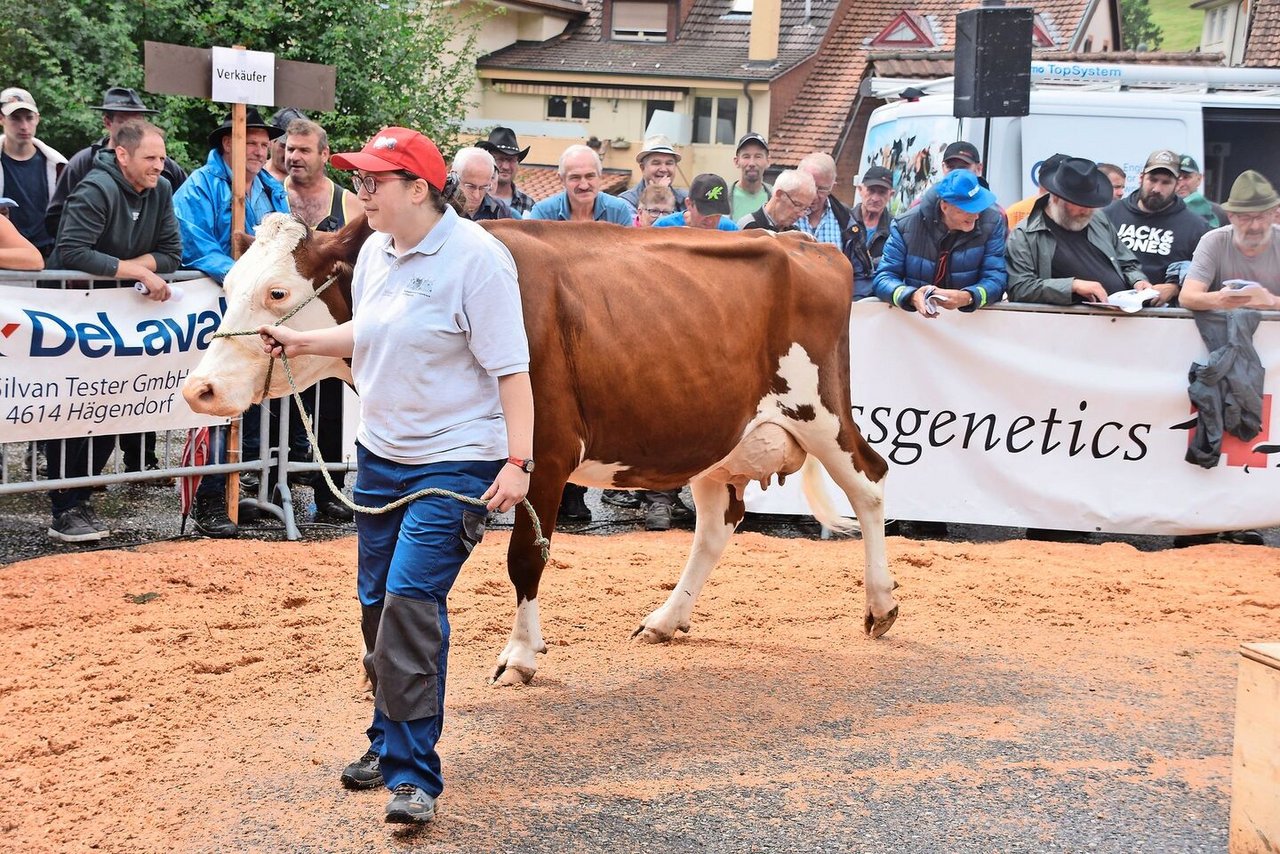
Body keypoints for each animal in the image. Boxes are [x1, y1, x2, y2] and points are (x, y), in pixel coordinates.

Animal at [183, 215, 901, 686]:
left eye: (277, 292)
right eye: (227, 287)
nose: (198, 387)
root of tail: (804, 243)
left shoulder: (547, 453)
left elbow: (525, 558)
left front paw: (520, 657)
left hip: (821, 409)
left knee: (870, 484)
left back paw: (881, 606)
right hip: (711, 434)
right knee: (718, 525)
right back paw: (667, 619)